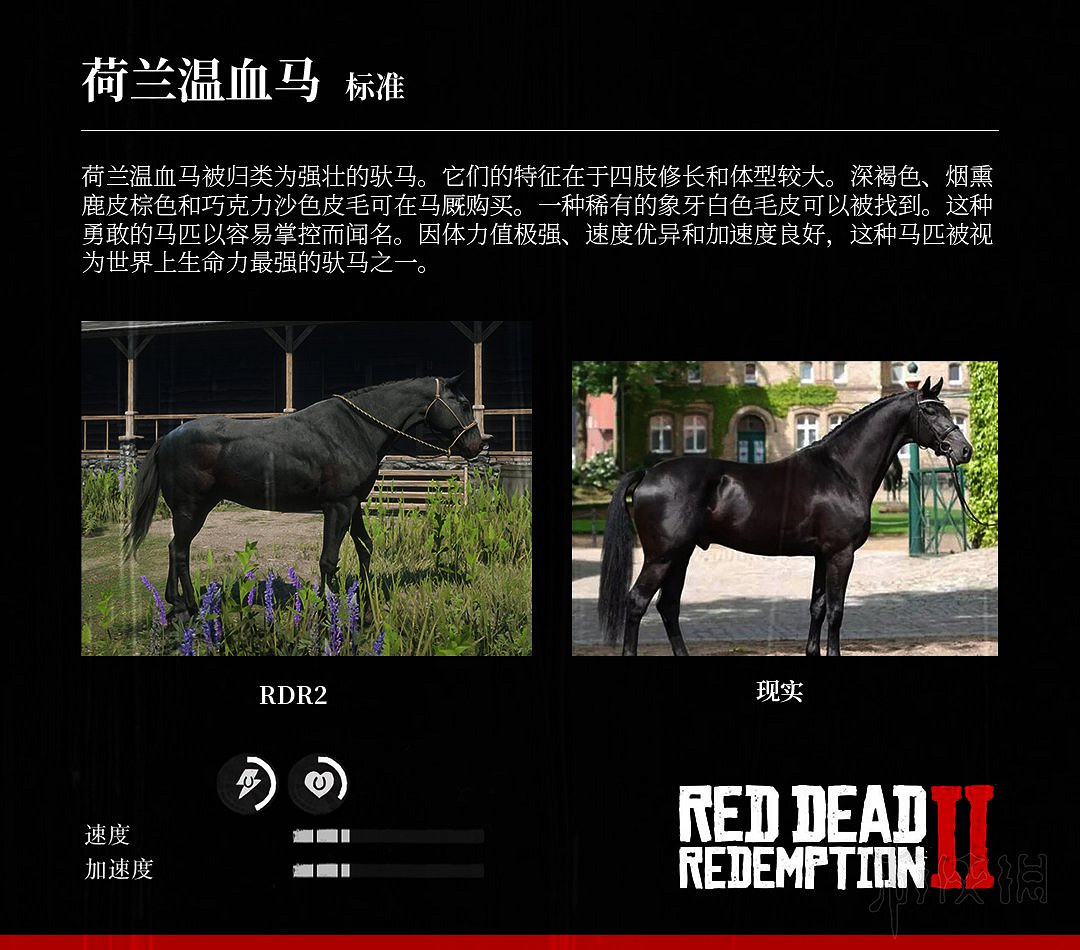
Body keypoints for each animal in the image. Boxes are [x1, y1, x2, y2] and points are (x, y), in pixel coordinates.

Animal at [123, 375, 490, 618]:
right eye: (463, 403)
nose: (477, 445)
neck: (356, 429)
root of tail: (167, 438)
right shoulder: (338, 506)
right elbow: (329, 560)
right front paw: (328, 611)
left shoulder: (354, 503)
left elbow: (365, 548)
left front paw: (365, 602)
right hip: (191, 508)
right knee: (180, 551)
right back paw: (191, 605)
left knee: (175, 548)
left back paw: (176, 603)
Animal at [597, 377, 973, 657]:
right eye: (930, 410)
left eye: (947, 409)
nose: (964, 450)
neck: (841, 470)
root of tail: (648, 473)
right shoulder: (841, 555)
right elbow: (836, 610)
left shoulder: (823, 555)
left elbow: (817, 607)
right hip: (662, 556)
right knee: (637, 602)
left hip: (681, 555)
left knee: (668, 607)